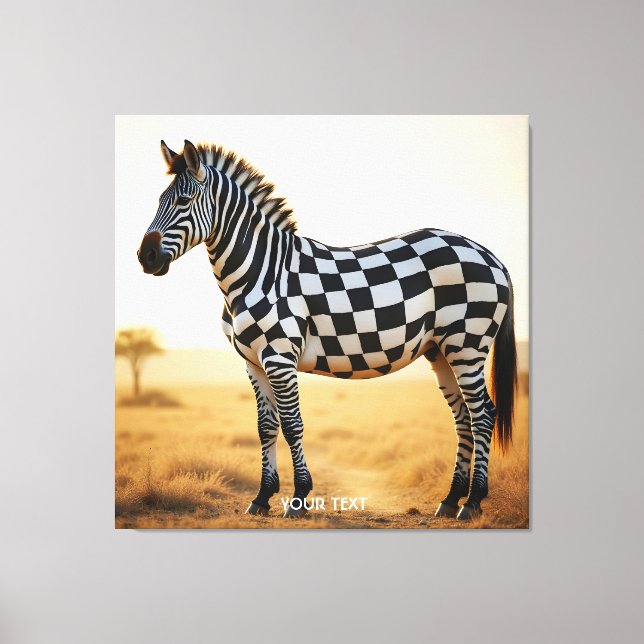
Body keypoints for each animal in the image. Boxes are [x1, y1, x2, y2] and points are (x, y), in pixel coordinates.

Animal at [137, 139, 517, 521]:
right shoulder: (253, 362)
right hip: (441, 350)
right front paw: (262, 497)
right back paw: (451, 499)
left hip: (467, 344)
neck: (258, 272)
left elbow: (292, 425)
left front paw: (299, 498)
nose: (145, 256)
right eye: (159, 200)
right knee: (463, 417)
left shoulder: (279, 358)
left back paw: (472, 502)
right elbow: (265, 427)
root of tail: (491, 256)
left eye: (184, 201)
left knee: (483, 414)